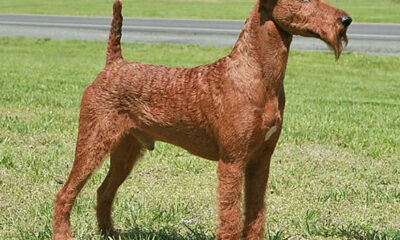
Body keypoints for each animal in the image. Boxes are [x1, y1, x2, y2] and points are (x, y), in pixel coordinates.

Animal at [52, 0, 350, 240]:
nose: (346, 20)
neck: (257, 74)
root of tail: (114, 64)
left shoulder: (261, 160)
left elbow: (256, 214)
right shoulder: (232, 161)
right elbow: (231, 218)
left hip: (127, 150)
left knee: (104, 192)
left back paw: (109, 233)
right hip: (93, 142)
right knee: (65, 194)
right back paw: (64, 234)